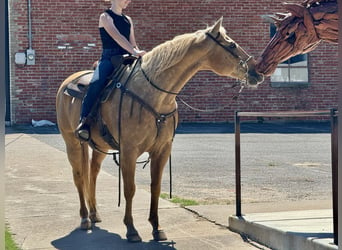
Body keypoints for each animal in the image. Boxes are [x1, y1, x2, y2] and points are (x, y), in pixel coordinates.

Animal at [56, 18, 264, 243]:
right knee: (79, 176)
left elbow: (155, 187)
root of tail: (67, 83)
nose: (257, 71)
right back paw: (85, 218)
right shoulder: (129, 151)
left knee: (92, 173)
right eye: (232, 45)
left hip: (99, 146)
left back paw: (94, 214)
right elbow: (130, 189)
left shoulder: (162, 150)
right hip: (72, 143)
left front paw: (157, 228)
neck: (155, 95)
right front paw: (131, 229)